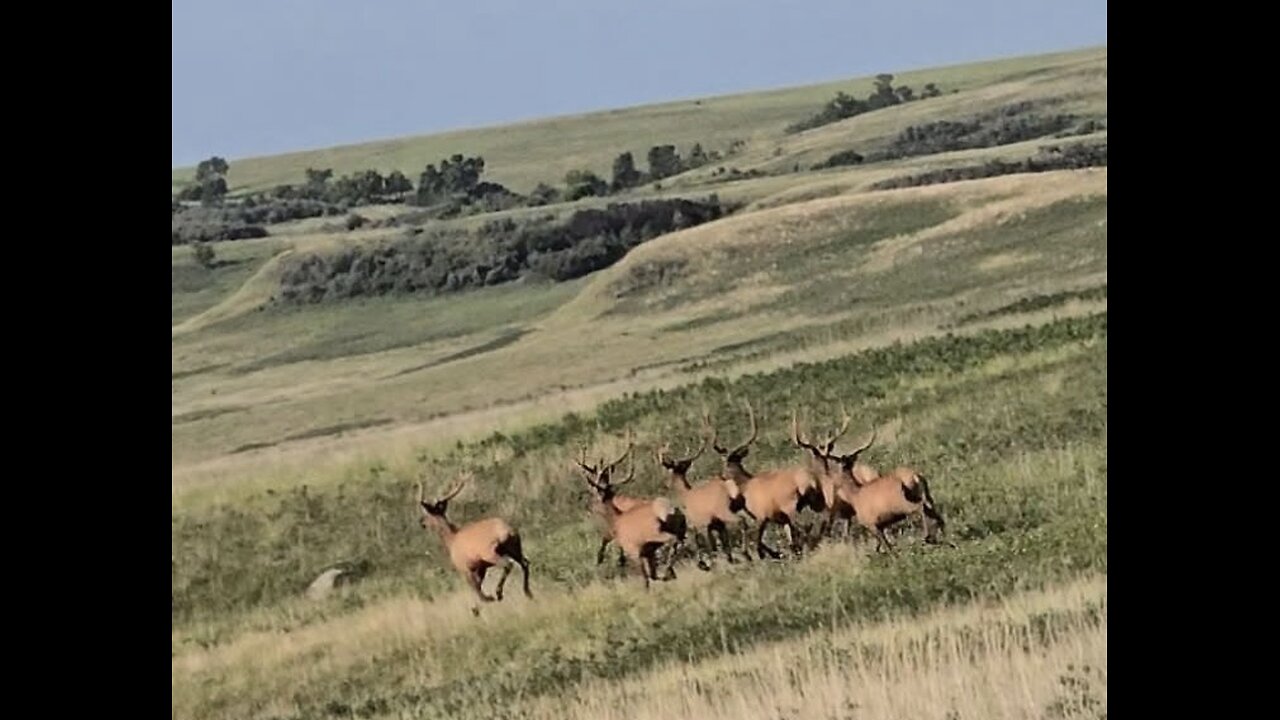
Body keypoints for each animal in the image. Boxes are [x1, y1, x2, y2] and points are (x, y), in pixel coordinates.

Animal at [415, 472, 532, 610]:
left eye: (427, 514)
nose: (421, 522)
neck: (451, 541)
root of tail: (508, 532)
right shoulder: (481, 567)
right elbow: (479, 585)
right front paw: (477, 608)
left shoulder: (465, 567)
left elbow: (475, 587)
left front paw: (485, 601)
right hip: (515, 547)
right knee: (525, 563)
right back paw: (527, 592)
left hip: (490, 552)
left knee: (508, 564)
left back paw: (499, 593)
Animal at [579, 452, 689, 589]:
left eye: (593, 494)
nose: (588, 507)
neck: (616, 521)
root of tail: (671, 510)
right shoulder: (649, 553)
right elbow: (652, 575)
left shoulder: (633, 550)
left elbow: (645, 579)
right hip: (681, 528)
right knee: (681, 542)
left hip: (657, 532)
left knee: (673, 540)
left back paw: (669, 569)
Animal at [656, 425, 748, 568]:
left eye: (667, 472)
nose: (664, 484)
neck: (685, 496)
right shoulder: (718, 525)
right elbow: (725, 547)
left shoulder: (702, 524)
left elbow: (710, 548)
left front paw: (707, 564)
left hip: (724, 510)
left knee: (741, 521)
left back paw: (746, 553)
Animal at [704, 401, 821, 560]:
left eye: (724, 465)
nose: (720, 476)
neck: (744, 487)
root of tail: (809, 482)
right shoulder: (779, 519)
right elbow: (787, 540)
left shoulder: (761, 516)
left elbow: (758, 541)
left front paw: (763, 554)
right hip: (815, 503)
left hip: (792, 506)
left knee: (804, 527)